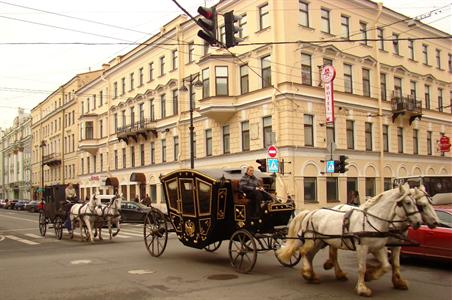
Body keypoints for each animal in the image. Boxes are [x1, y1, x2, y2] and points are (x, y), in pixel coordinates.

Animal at [278, 184, 422, 296]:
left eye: (417, 203)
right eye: (408, 203)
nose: (419, 222)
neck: (373, 220)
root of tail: (310, 213)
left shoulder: (378, 247)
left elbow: (386, 265)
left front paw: (370, 276)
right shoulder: (362, 247)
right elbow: (361, 267)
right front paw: (362, 289)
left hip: (319, 241)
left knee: (309, 255)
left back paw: (312, 276)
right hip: (312, 240)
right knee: (304, 252)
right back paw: (308, 274)